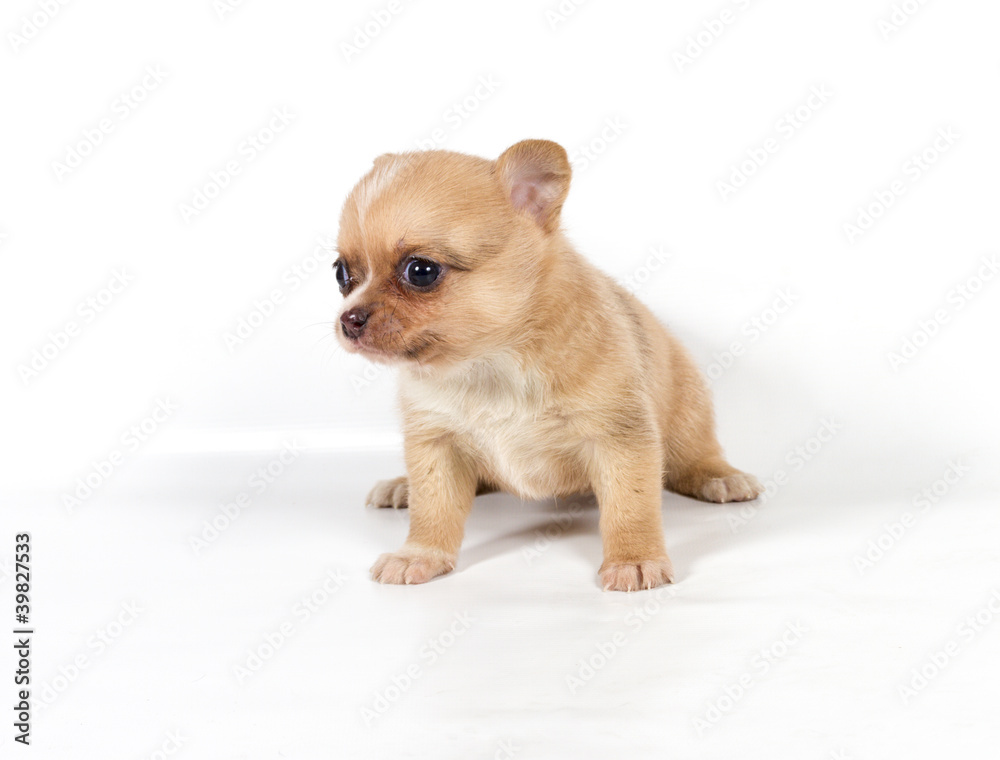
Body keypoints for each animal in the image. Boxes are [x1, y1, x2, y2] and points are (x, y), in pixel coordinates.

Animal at [332, 140, 760, 592]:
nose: (348, 319)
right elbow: (432, 510)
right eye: (341, 273)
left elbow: (631, 507)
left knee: (695, 455)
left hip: (688, 413)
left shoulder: (619, 440)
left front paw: (634, 558)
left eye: (421, 270)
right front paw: (419, 554)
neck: (490, 363)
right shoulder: (436, 444)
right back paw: (401, 486)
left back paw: (720, 477)